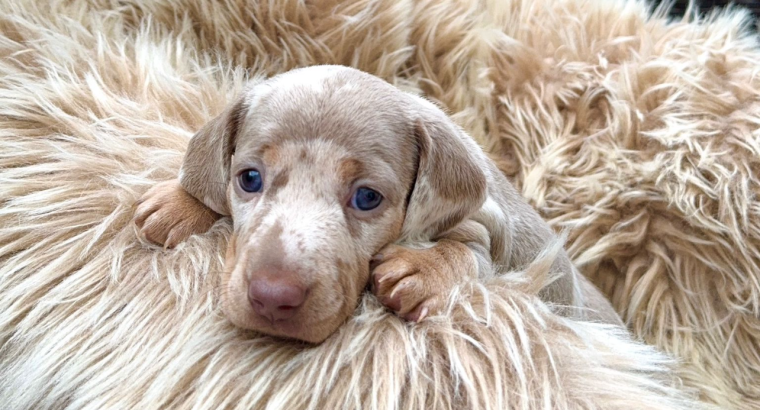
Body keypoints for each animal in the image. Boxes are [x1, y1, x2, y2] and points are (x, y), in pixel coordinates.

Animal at [134, 65, 620, 344]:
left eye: (367, 198)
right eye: (249, 179)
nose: (272, 298)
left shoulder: (490, 233)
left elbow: (469, 250)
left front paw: (424, 269)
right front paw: (181, 203)